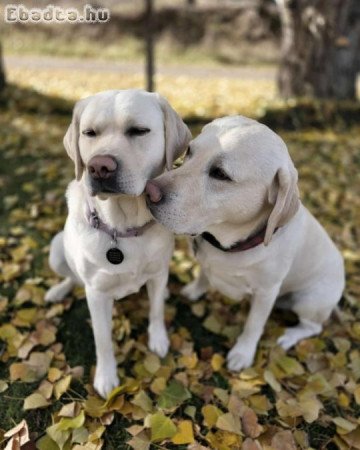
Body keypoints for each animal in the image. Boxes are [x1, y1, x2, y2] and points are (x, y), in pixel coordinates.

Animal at [45, 89, 191, 398]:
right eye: (89, 133)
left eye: (139, 131)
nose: (99, 167)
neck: (122, 227)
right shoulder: (97, 294)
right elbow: (103, 340)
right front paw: (106, 376)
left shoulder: (157, 272)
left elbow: (156, 310)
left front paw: (158, 339)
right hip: (56, 249)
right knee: (71, 277)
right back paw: (58, 290)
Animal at [146, 116, 344, 372]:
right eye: (189, 151)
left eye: (220, 174)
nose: (148, 192)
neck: (228, 243)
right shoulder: (207, 262)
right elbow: (203, 274)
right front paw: (195, 290)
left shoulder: (266, 293)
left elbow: (253, 325)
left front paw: (243, 353)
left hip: (309, 301)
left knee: (313, 326)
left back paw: (289, 337)